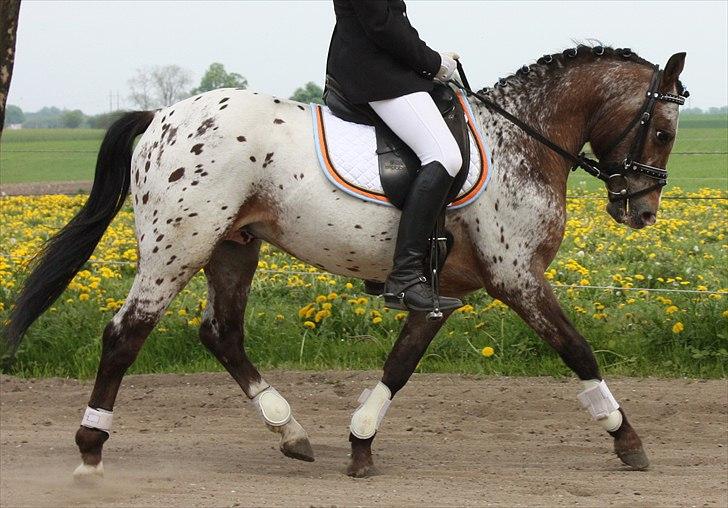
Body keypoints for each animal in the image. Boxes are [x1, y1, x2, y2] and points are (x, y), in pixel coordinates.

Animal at [7, 45, 688, 478]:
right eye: (663, 131)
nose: (642, 211)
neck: (519, 139)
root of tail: (161, 118)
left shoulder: (444, 291)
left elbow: (400, 363)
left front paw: (360, 443)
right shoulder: (516, 276)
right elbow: (578, 350)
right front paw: (627, 439)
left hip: (233, 246)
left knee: (221, 333)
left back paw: (290, 431)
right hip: (179, 246)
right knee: (126, 334)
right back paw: (91, 448)